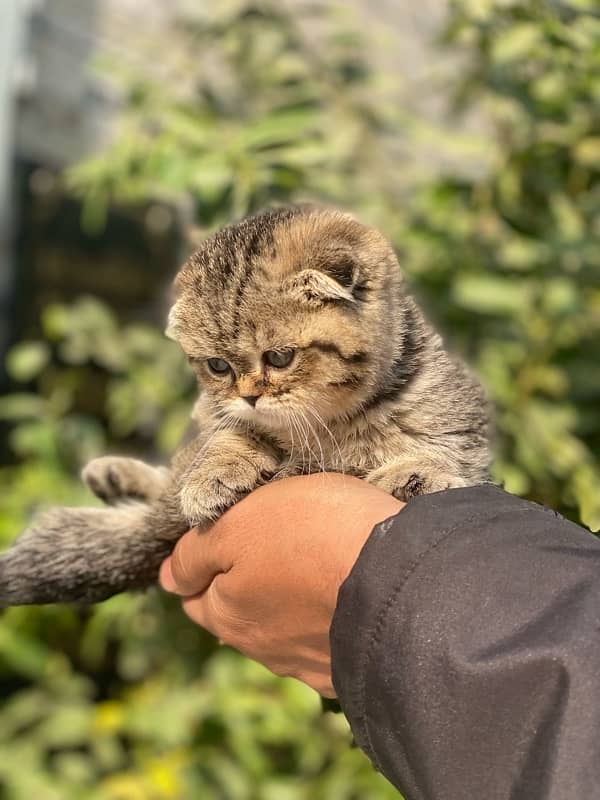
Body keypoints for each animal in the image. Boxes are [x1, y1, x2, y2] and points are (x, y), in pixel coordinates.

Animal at [0, 206, 490, 608]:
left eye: (279, 357)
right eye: (218, 366)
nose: (249, 394)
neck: (327, 420)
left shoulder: (457, 423)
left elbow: (434, 455)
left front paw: (415, 477)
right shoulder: (223, 418)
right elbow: (228, 437)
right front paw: (216, 473)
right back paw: (114, 475)